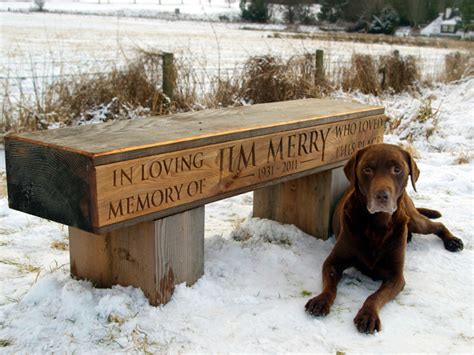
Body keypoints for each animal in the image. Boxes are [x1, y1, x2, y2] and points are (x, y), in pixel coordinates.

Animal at [304, 143, 462, 336]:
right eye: (367, 169)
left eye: (397, 169)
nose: (381, 196)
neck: (377, 226)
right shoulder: (332, 262)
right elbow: (329, 285)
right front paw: (320, 301)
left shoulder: (396, 277)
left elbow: (375, 296)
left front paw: (368, 316)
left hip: (414, 220)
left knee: (437, 224)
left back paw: (453, 241)